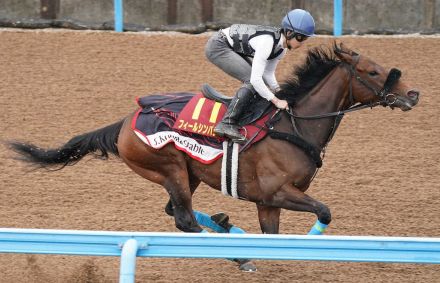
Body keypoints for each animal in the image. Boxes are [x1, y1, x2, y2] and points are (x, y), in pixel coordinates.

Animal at [7, 42, 420, 262]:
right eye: (372, 71)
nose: (413, 93)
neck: (293, 125)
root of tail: (126, 120)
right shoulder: (278, 192)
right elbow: (324, 212)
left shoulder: (267, 202)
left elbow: (273, 236)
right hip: (169, 167)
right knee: (184, 220)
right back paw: (238, 254)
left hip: (187, 174)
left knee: (176, 211)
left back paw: (225, 227)